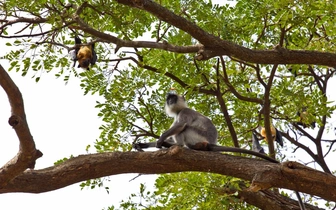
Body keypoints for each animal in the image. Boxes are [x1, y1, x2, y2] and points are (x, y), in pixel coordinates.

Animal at [134, 92, 278, 164]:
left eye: (173, 98)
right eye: (169, 99)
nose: (170, 101)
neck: (179, 110)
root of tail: (211, 142)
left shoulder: (185, 112)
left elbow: (180, 125)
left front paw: (161, 139)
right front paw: (142, 144)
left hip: (198, 136)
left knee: (185, 129)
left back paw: (178, 146)